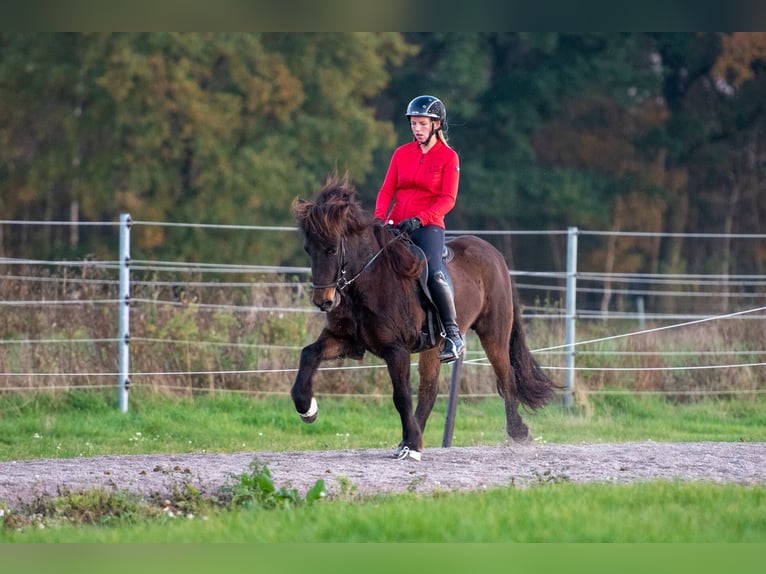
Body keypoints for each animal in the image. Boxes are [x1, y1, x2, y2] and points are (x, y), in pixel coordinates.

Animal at [288, 173, 560, 462]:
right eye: (308, 249)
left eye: (331, 250)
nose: (323, 301)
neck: (368, 282)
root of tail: (494, 254)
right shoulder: (344, 340)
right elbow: (308, 354)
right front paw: (307, 408)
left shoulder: (395, 349)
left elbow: (401, 396)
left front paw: (412, 443)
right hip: (435, 346)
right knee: (429, 391)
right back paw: (411, 438)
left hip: (493, 333)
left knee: (506, 376)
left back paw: (517, 432)